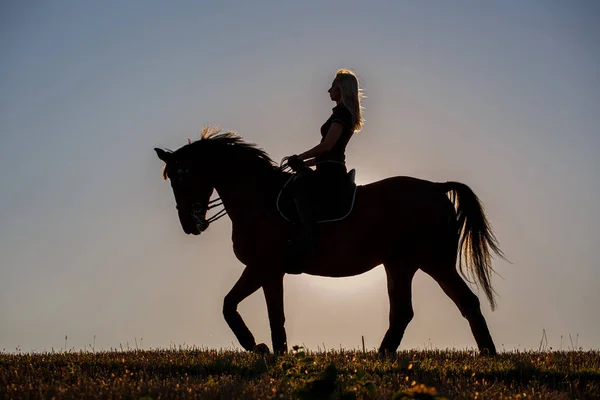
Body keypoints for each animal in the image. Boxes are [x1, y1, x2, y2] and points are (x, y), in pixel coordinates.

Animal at [155, 127, 506, 356]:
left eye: (182, 176)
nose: (190, 225)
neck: (259, 199)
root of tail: (436, 188)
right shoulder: (268, 271)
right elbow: (262, 311)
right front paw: (273, 352)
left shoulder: (262, 267)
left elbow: (240, 308)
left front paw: (260, 348)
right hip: (409, 264)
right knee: (427, 308)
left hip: (424, 261)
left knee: (448, 305)